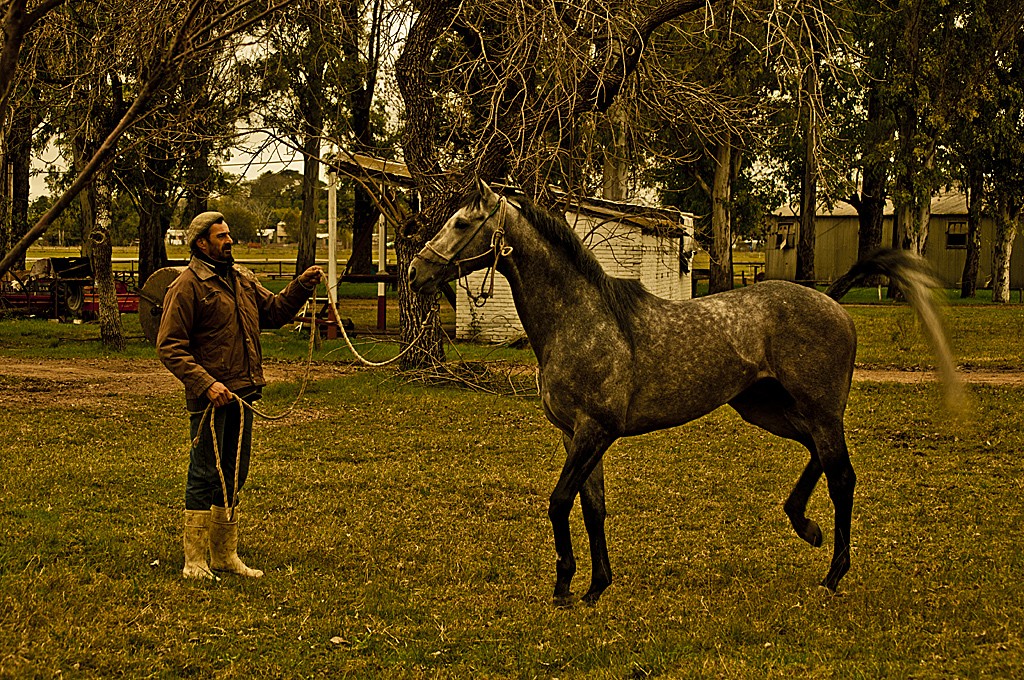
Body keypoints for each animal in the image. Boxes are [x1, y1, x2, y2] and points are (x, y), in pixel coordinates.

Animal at [407, 180, 958, 606]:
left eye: (461, 224)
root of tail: (832, 301)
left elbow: (560, 503)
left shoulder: (593, 432)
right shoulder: (576, 436)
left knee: (842, 477)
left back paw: (833, 572)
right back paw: (806, 527)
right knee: (819, 460)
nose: (415, 272)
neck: (581, 320)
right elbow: (592, 507)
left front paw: (565, 586)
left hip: (819, 412)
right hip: (770, 410)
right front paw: (594, 587)